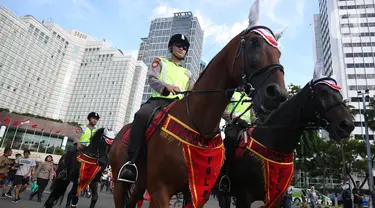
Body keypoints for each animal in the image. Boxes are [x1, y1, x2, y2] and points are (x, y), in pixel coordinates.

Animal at [108, 0, 288, 207]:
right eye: (254, 43)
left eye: (278, 52)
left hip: (139, 185)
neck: (198, 125)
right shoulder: (160, 191)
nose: (278, 94)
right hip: (119, 183)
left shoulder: (198, 192)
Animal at [214, 62, 356, 207]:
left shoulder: (277, 197)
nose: (347, 125)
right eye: (323, 91)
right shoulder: (244, 197)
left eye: (339, 94)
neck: (272, 143)